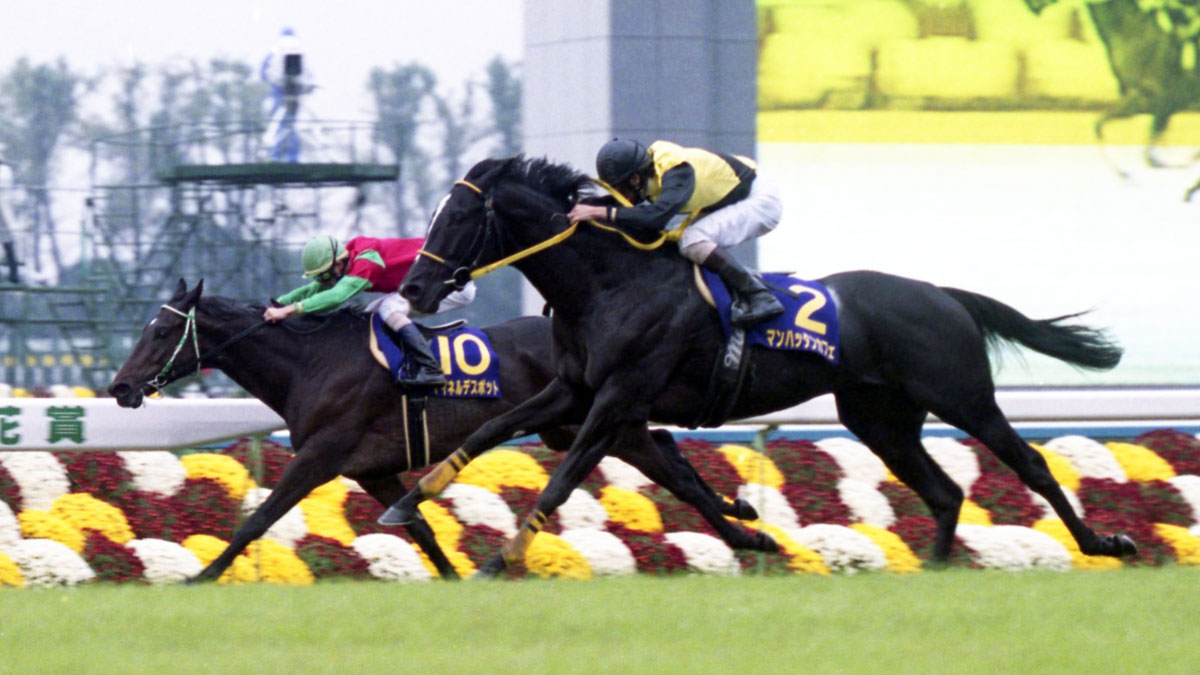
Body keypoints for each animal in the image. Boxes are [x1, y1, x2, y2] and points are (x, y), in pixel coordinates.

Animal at [106, 280, 773, 582]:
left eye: (161, 332)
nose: (119, 386)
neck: (311, 362)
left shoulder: (322, 455)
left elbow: (258, 518)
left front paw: (200, 576)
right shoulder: (372, 469)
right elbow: (420, 528)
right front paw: (454, 578)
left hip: (602, 420)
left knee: (672, 467)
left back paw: (748, 530)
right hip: (581, 427)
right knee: (669, 456)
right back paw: (746, 523)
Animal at [382, 155, 1137, 576]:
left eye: (457, 219)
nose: (414, 289)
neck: (610, 282)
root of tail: (941, 294)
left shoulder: (618, 399)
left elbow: (562, 480)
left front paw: (500, 559)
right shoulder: (574, 390)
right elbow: (489, 433)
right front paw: (403, 502)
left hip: (963, 397)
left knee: (1030, 464)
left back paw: (1107, 542)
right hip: (880, 418)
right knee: (945, 491)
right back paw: (933, 566)